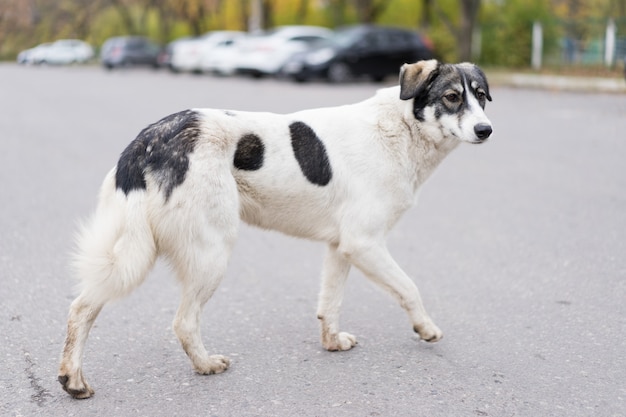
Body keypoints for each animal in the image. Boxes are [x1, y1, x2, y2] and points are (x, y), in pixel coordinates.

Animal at [57, 58, 492, 396]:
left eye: (482, 96)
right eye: (452, 97)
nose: (486, 130)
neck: (400, 127)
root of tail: (148, 140)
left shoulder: (342, 247)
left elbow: (330, 305)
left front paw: (332, 342)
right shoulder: (365, 243)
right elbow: (409, 287)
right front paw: (426, 328)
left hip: (133, 252)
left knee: (81, 307)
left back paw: (73, 379)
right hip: (208, 254)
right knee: (182, 322)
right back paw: (205, 365)